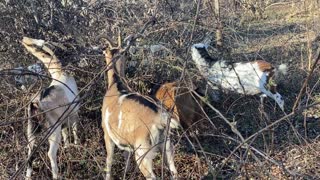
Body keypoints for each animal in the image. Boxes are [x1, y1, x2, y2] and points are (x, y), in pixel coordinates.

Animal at [21, 36, 80, 179]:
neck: (59, 72)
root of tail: (36, 104)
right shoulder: (74, 113)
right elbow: (74, 130)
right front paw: (77, 144)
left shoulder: (64, 120)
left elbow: (66, 134)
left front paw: (68, 146)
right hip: (53, 131)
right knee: (50, 153)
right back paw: (56, 175)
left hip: (31, 132)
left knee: (30, 154)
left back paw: (28, 176)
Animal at [100, 33, 179, 179]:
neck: (115, 84)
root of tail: (160, 118)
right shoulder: (126, 141)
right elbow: (126, 158)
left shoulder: (108, 135)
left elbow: (109, 160)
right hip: (167, 146)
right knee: (173, 170)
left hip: (143, 152)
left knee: (151, 176)